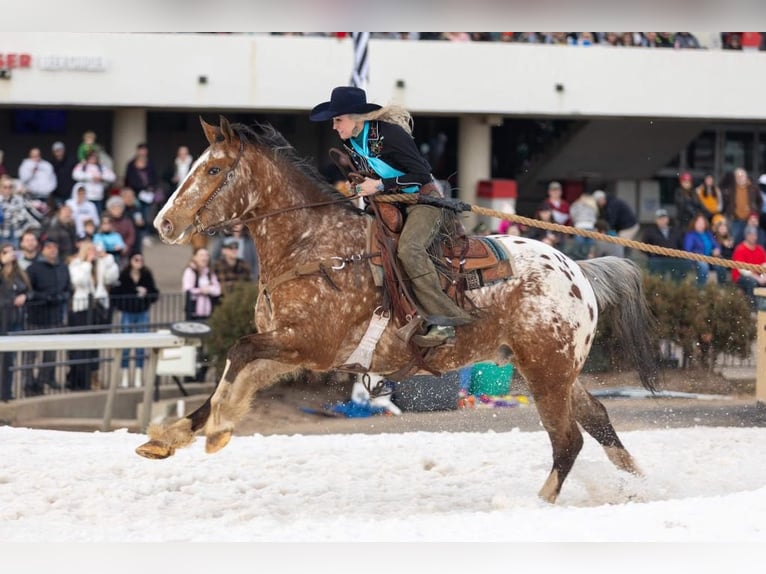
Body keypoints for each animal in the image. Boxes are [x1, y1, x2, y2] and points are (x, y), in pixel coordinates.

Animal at [141, 116, 664, 504]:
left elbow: (238, 353)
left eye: (212, 171)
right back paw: (643, 486)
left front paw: (218, 428)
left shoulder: (308, 343)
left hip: (546, 371)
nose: (163, 223)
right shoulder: (295, 351)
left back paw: (539, 504)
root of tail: (577, 269)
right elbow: (235, 370)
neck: (314, 245)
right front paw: (171, 435)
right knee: (597, 419)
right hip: (552, 370)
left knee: (568, 438)